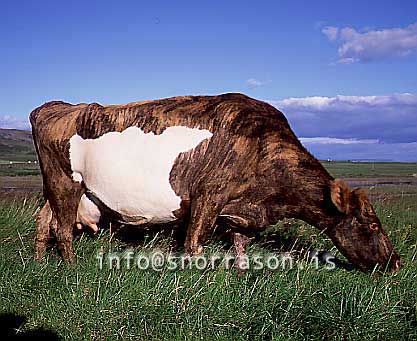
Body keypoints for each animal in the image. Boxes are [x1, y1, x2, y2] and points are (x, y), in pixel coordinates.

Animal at [29, 92, 400, 270]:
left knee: (44, 222)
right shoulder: (208, 196)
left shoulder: (241, 212)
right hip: (65, 182)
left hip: (56, 189)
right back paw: (72, 269)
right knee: (62, 229)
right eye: (372, 225)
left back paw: (39, 261)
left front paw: (241, 275)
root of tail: (54, 107)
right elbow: (195, 243)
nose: (396, 262)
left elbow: (240, 246)